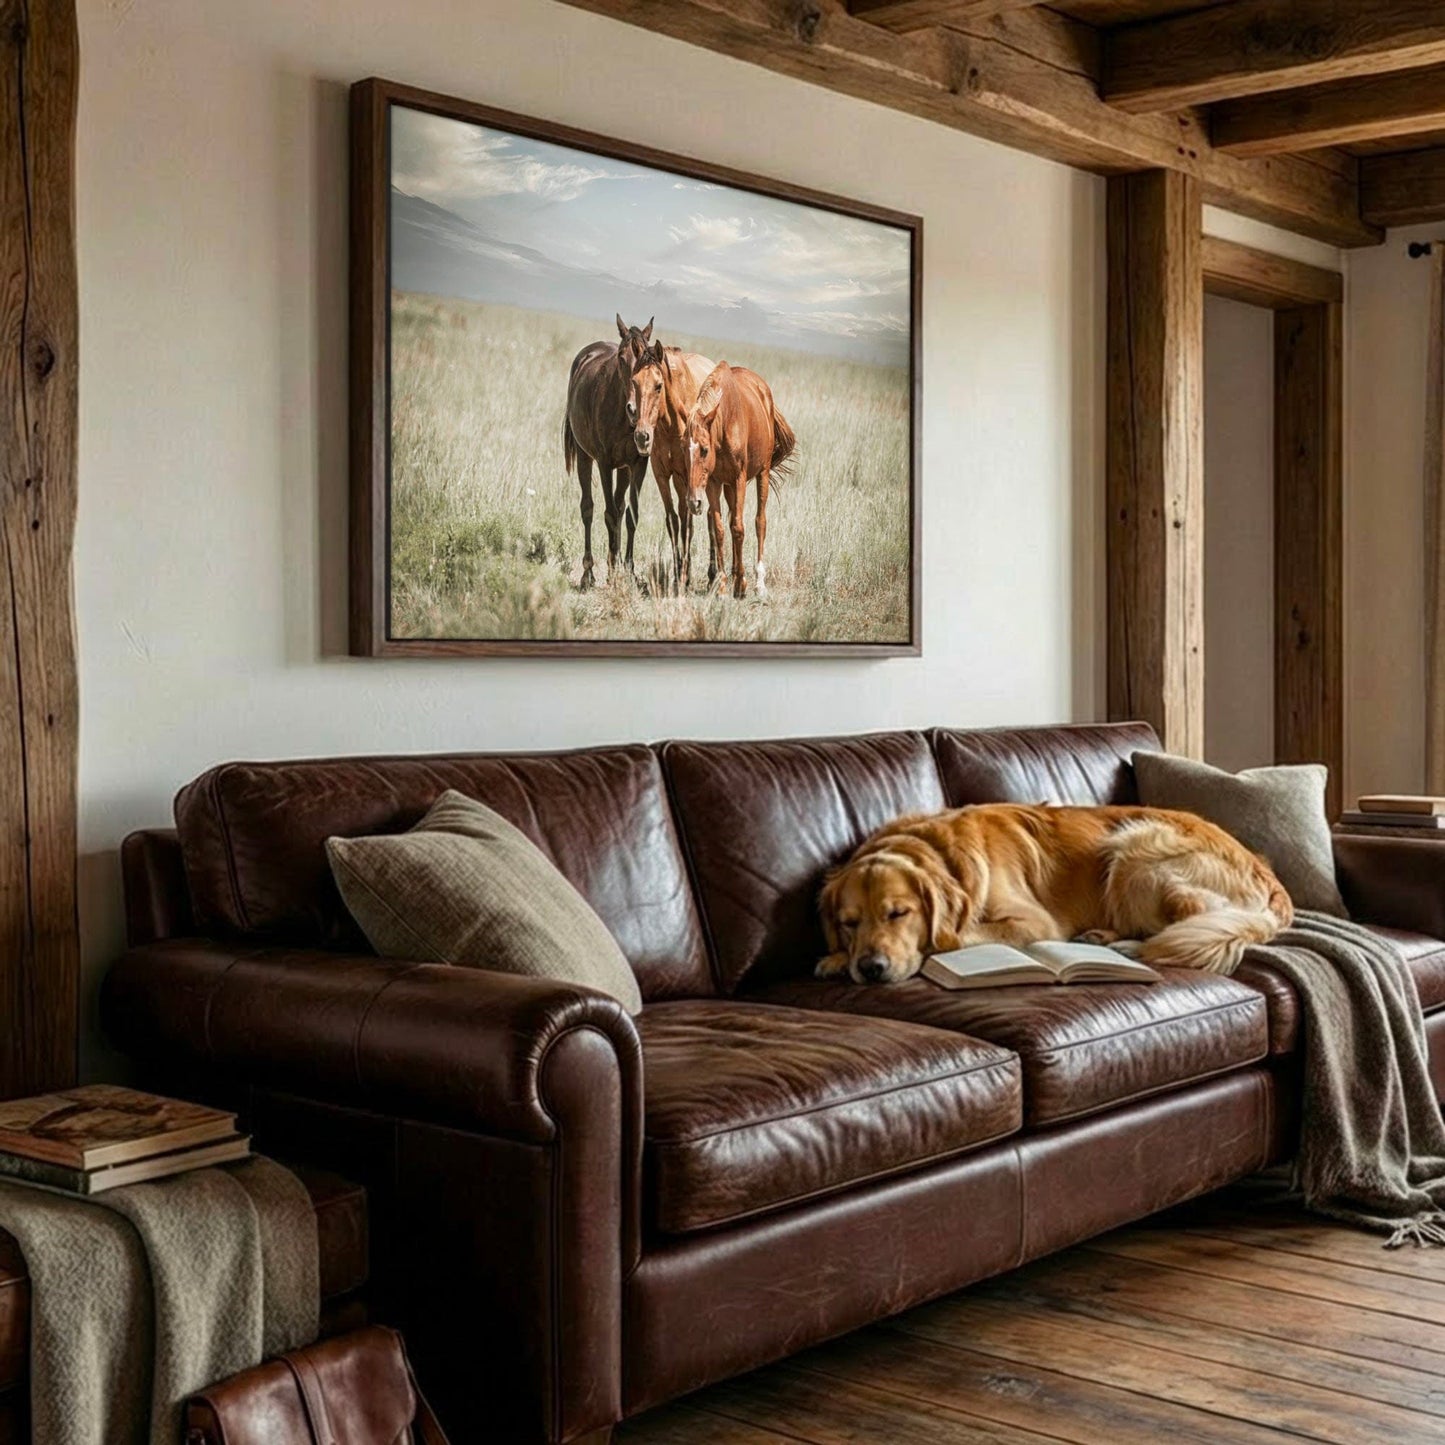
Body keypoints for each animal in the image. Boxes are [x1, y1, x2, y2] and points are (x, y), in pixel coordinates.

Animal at [563, 314, 657, 589]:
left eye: (650, 361)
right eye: (622, 358)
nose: (635, 410)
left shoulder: (638, 463)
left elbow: (630, 515)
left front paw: (629, 571)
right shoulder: (604, 463)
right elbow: (609, 514)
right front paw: (611, 571)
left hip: (624, 469)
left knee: (620, 505)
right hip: (584, 457)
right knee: (588, 508)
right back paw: (588, 572)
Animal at [626, 344, 718, 592]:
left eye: (658, 386)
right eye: (634, 381)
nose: (642, 437)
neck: (670, 425)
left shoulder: (685, 476)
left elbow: (687, 521)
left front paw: (684, 575)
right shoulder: (662, 475)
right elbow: (673, 520)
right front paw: (678, 572)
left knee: (708, 517)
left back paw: (713, 574)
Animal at [683, 362, 796, 600]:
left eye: (704, 449)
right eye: (682, 448)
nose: (693, 502)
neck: (726, 421)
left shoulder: (739, 479)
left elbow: (738, 527)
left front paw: (741, 583)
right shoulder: (714, 483)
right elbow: (719, 529)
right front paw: (723, 586)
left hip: (762, 474)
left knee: (759, 521)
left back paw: (759, 584)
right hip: (728, 488)